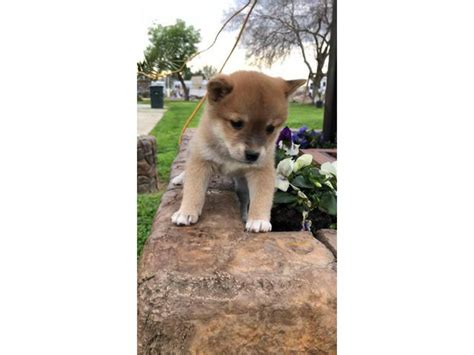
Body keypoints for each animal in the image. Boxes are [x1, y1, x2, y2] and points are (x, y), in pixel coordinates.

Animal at [170, 72, 304, 234]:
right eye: (236, 123)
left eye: (270, 128)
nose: (253, 155)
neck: (228, 154)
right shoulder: (201, 161)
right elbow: (193, 188)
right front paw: (186, 212)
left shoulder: (261, 169)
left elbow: (262, 195)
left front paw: (258, 219)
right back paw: (180, 178)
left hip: (242, 185)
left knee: (244, 201)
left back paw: (245, 216)